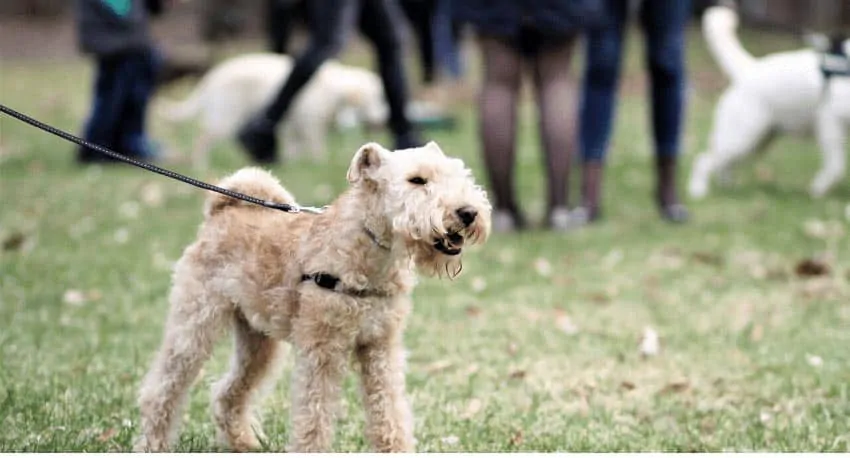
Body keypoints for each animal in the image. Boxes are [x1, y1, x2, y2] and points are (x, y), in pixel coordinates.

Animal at [132, 141, 490, 452]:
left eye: (458, 174)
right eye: (417, 180)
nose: (468, 212)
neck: (367, 250)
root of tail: (221, 211)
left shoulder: (380, 348)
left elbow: (389, 413)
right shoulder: (322, 352)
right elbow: (314, 418)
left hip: (258, 342)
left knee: (227, 392)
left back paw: (245, 443)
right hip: (194, 325)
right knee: (161, 391)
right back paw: (152, 444)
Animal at [157, 53, 388, 168]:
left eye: (382, 97)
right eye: (376, 98)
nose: (386, 118)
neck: (335, 90)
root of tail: (213, 76)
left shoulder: (294, 128)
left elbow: (296, 149)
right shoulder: (309, 126)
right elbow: (316, 149)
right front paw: (317, 164)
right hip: (224, 119)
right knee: (200, 142)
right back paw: (201, 166)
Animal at [684, 4, 848, 199]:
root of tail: (749, 69)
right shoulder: (830, 122)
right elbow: (836, 167)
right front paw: (818, 189)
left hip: (758, 141)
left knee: (724, 166)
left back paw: (728, 187)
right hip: (741, 138)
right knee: (703, 161)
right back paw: (698, 190)